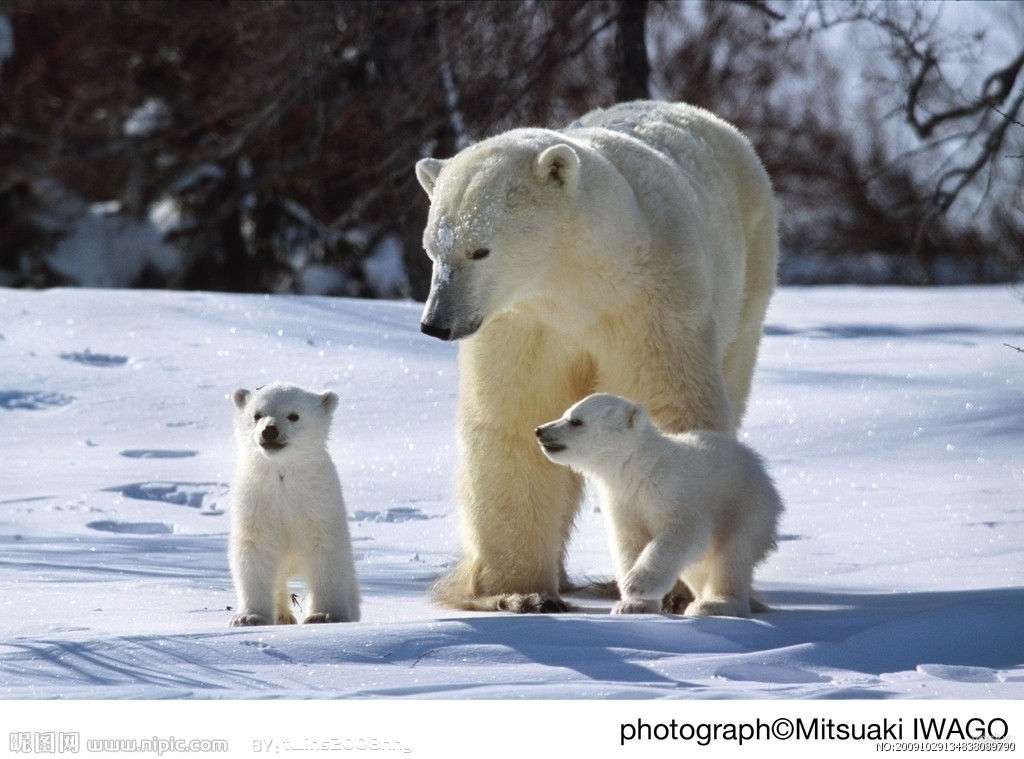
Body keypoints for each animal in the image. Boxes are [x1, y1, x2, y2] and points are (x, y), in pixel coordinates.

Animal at [415, 99, 774, 610]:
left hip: (749, 279)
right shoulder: (523, 324)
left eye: (479, 249)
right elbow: (513, 418)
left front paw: (673, 590)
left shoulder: (648, 303)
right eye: (432, 249)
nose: (436, 323)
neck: (577, 283)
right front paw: (520, 593)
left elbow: (670, 401)